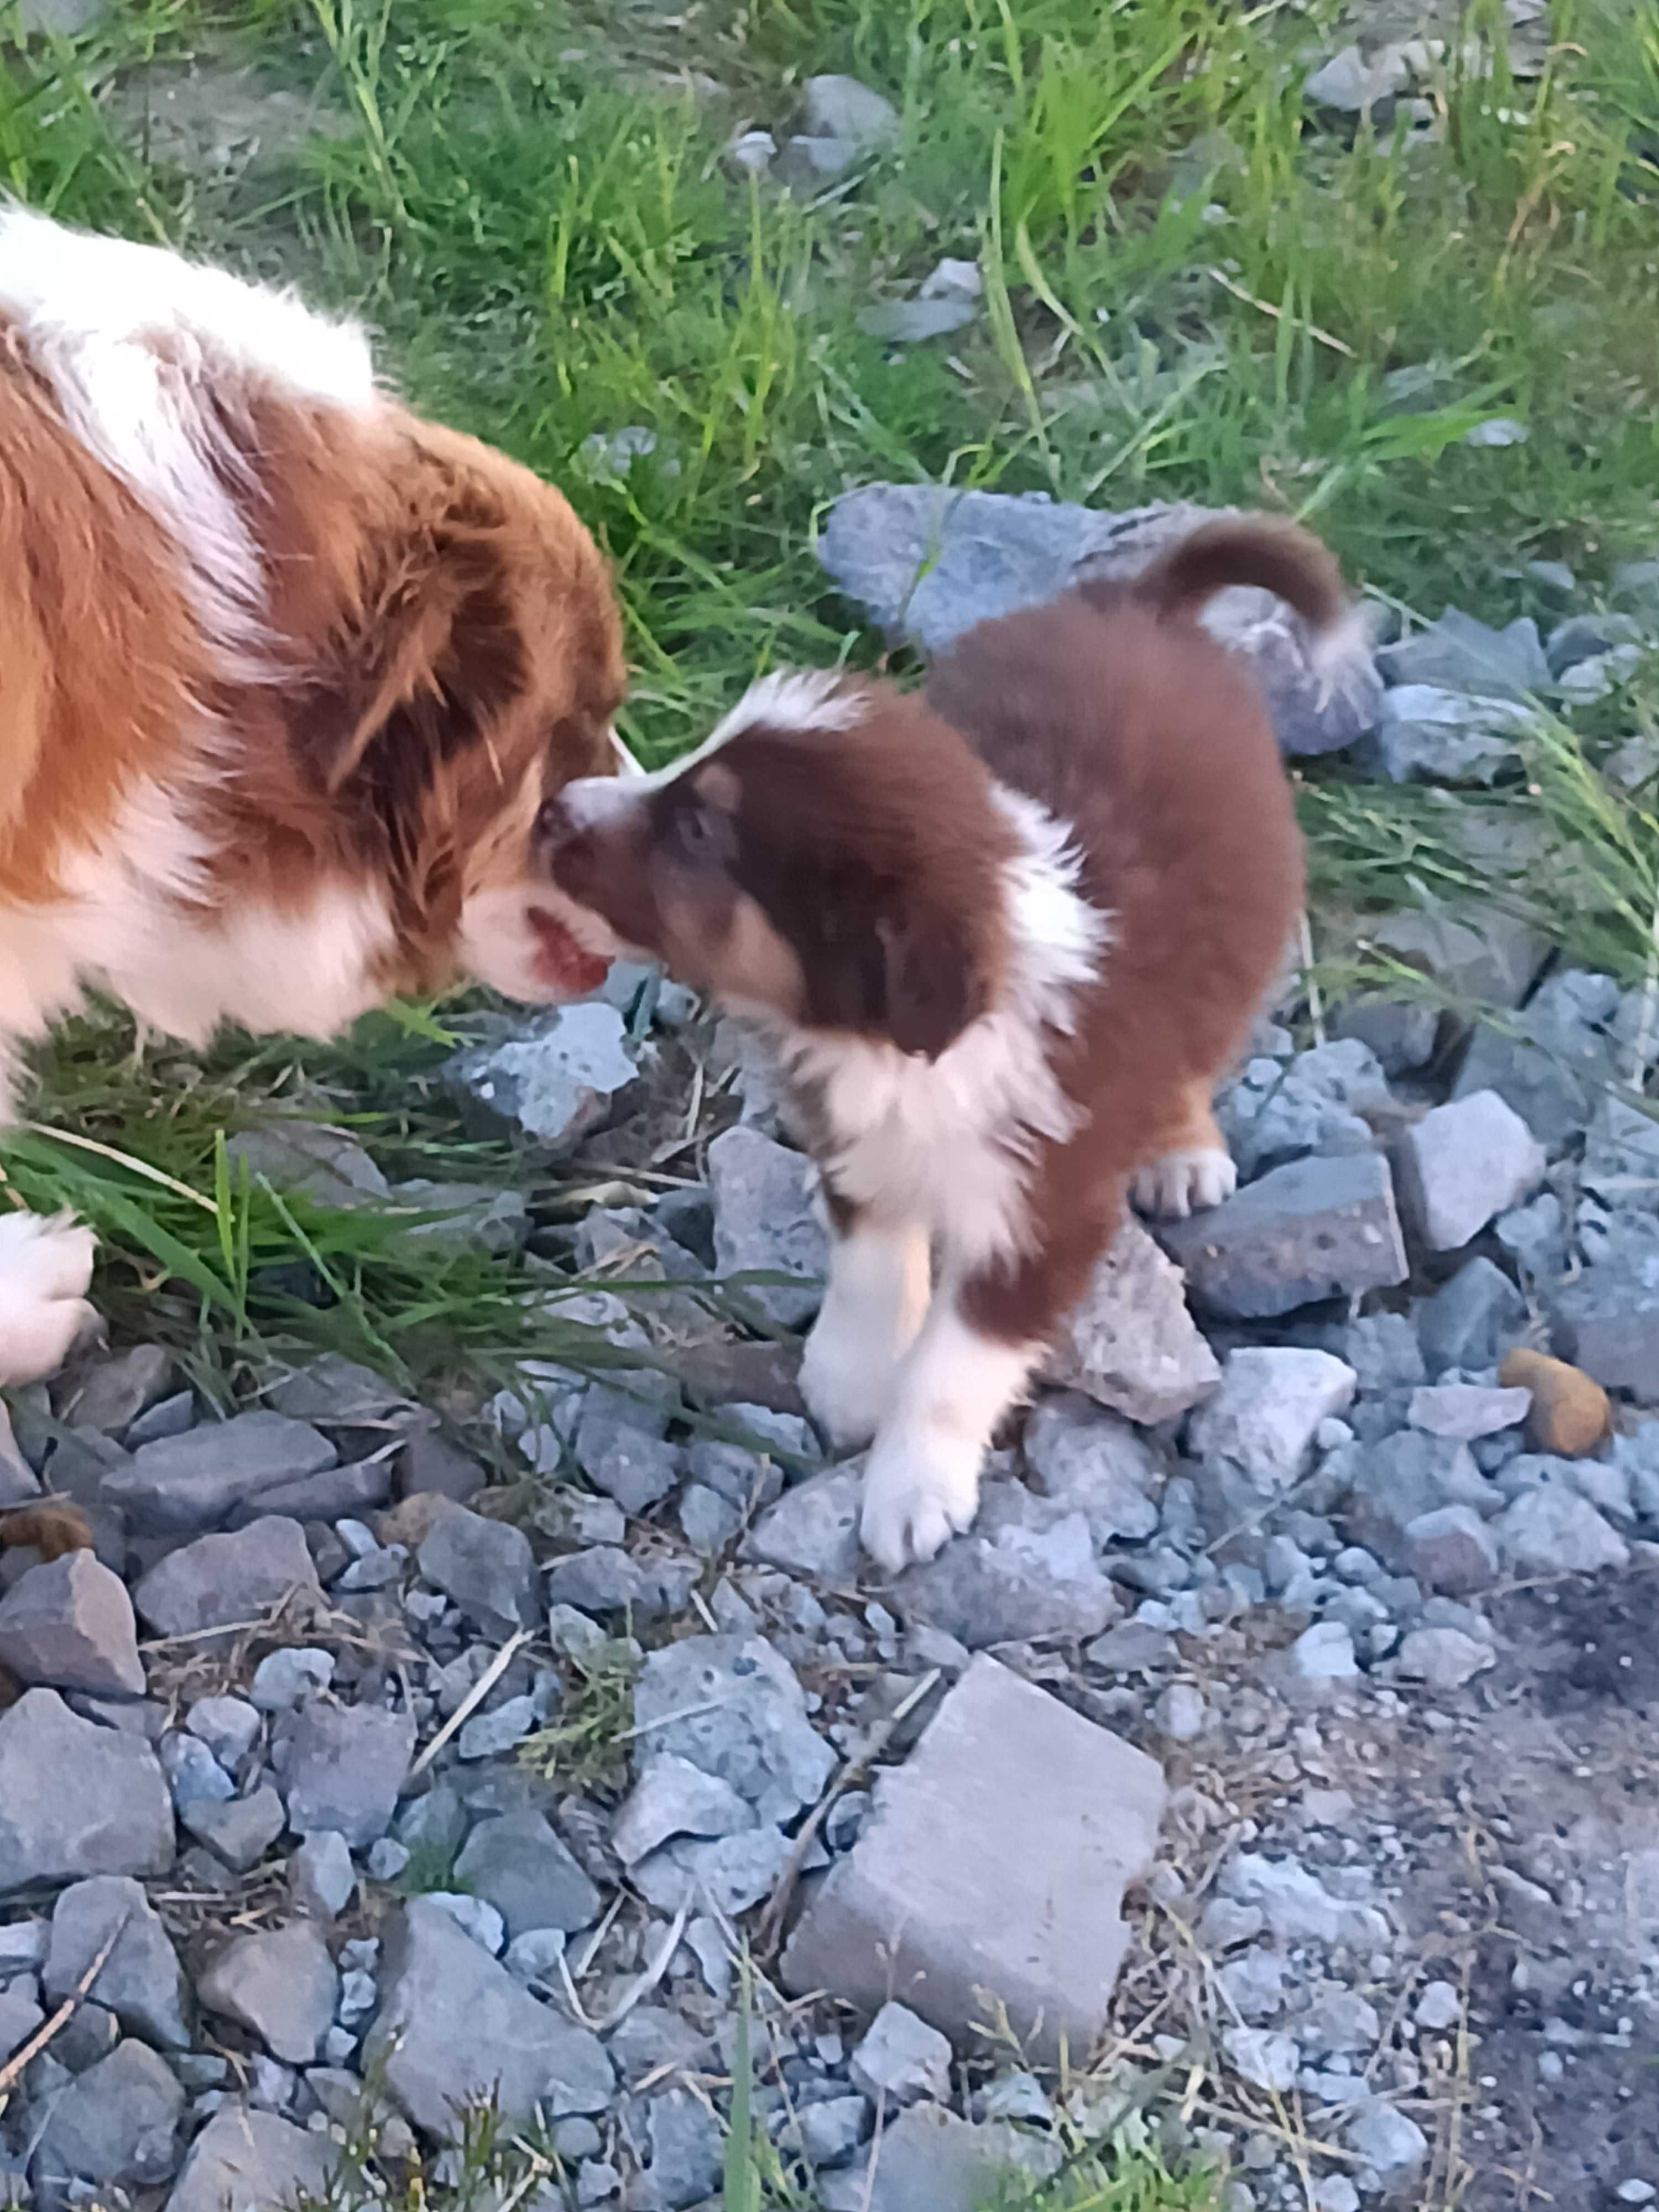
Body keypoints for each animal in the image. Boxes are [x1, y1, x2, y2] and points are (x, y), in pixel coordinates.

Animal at [540, 518, 1354, 1575]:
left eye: (700, 830)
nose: (551, 809)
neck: (899, 1046)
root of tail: (1143, 601)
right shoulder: (860, 1143)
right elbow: (875, 1268)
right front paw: (850, 1380)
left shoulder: (1045, 1212)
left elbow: (957, 1364)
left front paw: (910, 1492)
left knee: (1197, 1054)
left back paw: (1182, 1154)